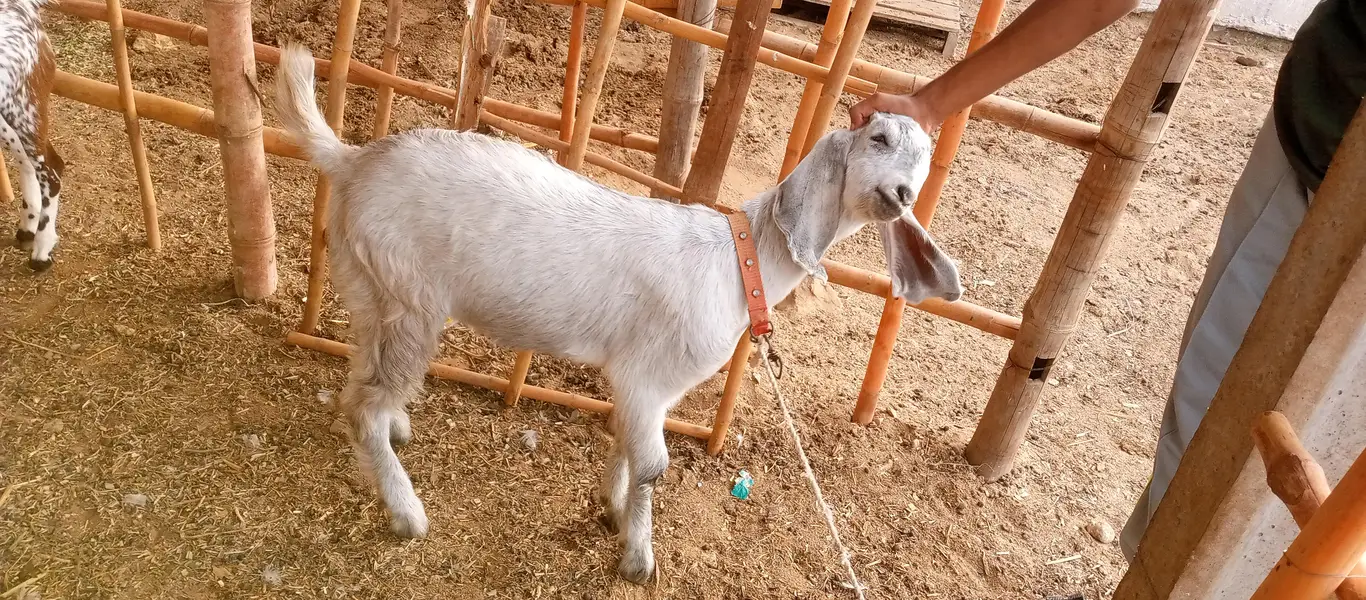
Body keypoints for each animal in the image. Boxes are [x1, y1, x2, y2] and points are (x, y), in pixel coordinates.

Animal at [276, 43, 962, 584]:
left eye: (927, 161)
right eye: (877, 137)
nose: (904, 195)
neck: (741, 259)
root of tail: (350, 160)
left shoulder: (648, 386)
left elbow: (630, 447)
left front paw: (613, 508)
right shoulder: (646, 375)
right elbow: (655, 465)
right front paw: (638, 558)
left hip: (371, 284)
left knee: (359, 382)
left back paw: (391, 433)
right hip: (411, 297)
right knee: (365, 400)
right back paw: (406, 511)